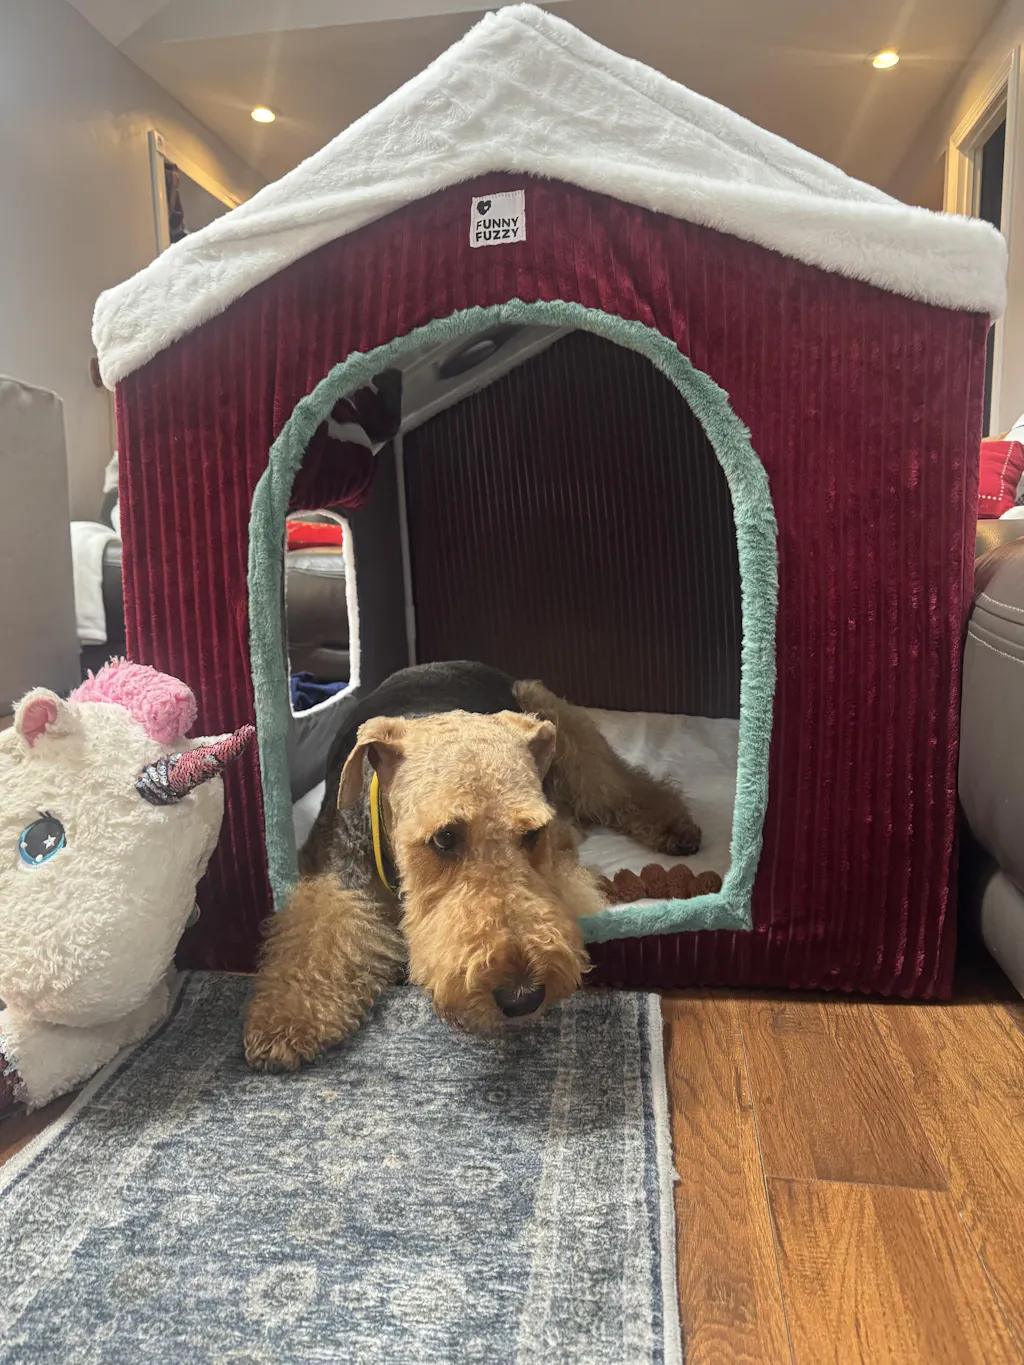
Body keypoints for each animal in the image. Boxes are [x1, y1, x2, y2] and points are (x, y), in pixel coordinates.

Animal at [243, 661, 700, 1070]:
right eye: (445, 838)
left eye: (531, 834)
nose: (523, 997)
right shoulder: (335, 877)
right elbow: (316, 940)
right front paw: (283, 1025)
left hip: (560, 727)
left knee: (619, 786)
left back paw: (676, 827)